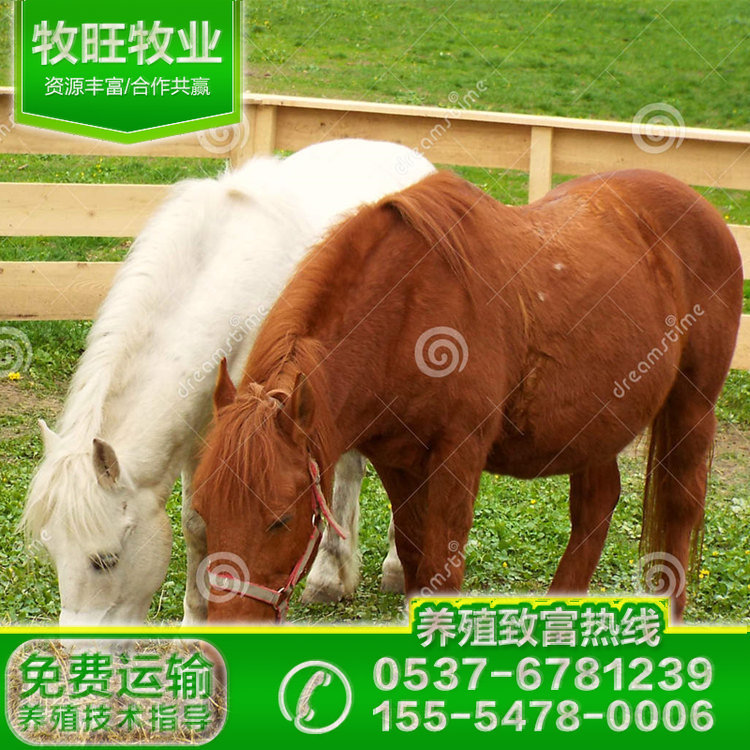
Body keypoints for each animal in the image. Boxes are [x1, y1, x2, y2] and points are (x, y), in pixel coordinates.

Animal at [20, 139, 434, 626]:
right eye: (52, 553)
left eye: (104, 560)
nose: (76, 644)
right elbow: (194, 521)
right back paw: (330, 576)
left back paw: (396, 569)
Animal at [192, 168, 743, 624]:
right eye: (203, 510)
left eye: (280, 520)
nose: (230, 628)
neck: (407, 315)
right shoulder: (398, 461)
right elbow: (415, 559)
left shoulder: (458, 455)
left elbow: (442, 568)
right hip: (596, 425)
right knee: (596, 505)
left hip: (692, 407)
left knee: (680, 507)